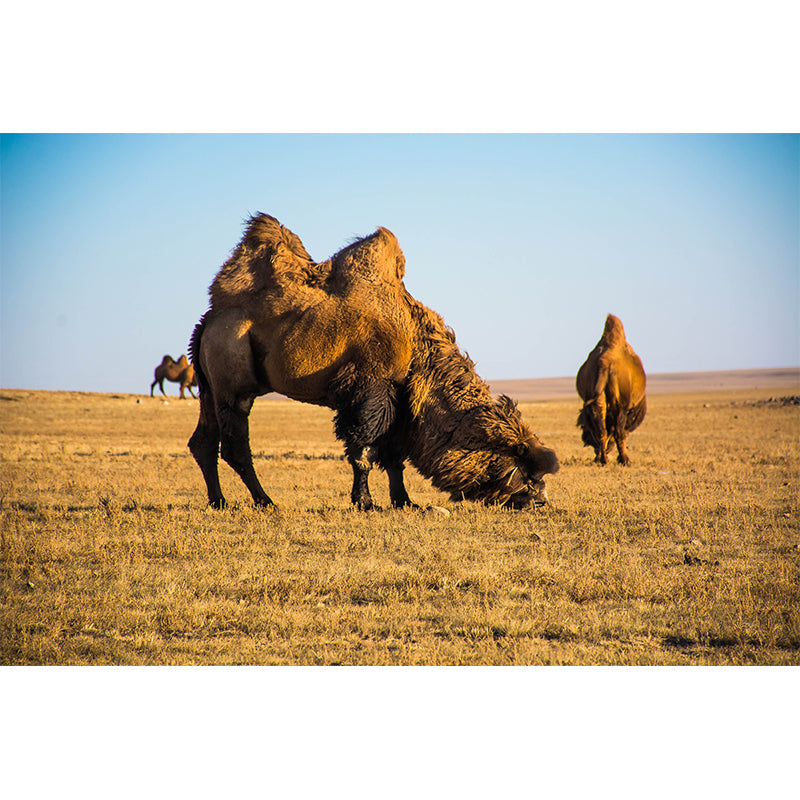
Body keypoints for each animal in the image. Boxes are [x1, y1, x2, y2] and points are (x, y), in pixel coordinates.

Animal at [188, 213, 559, 510]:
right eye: (522, 466)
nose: (540, 500)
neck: (418, 349)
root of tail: (209, 320)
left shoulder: (402, 400)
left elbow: (394, 457)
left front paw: (405, 502)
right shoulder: (371, 390)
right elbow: (364, 451)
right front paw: (365, 503)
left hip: (208, 385)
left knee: (203, 441)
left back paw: (219, 501)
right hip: (234, 381)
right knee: (235, 446)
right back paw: (265, 501)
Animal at [576, 314, 646, 465]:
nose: (585, 439)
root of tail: (605, 364)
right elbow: (621, 430)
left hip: (598, 400)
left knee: (602, 430)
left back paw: (603, 459)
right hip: (620, 404)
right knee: (618, 431)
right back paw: (624, 460)